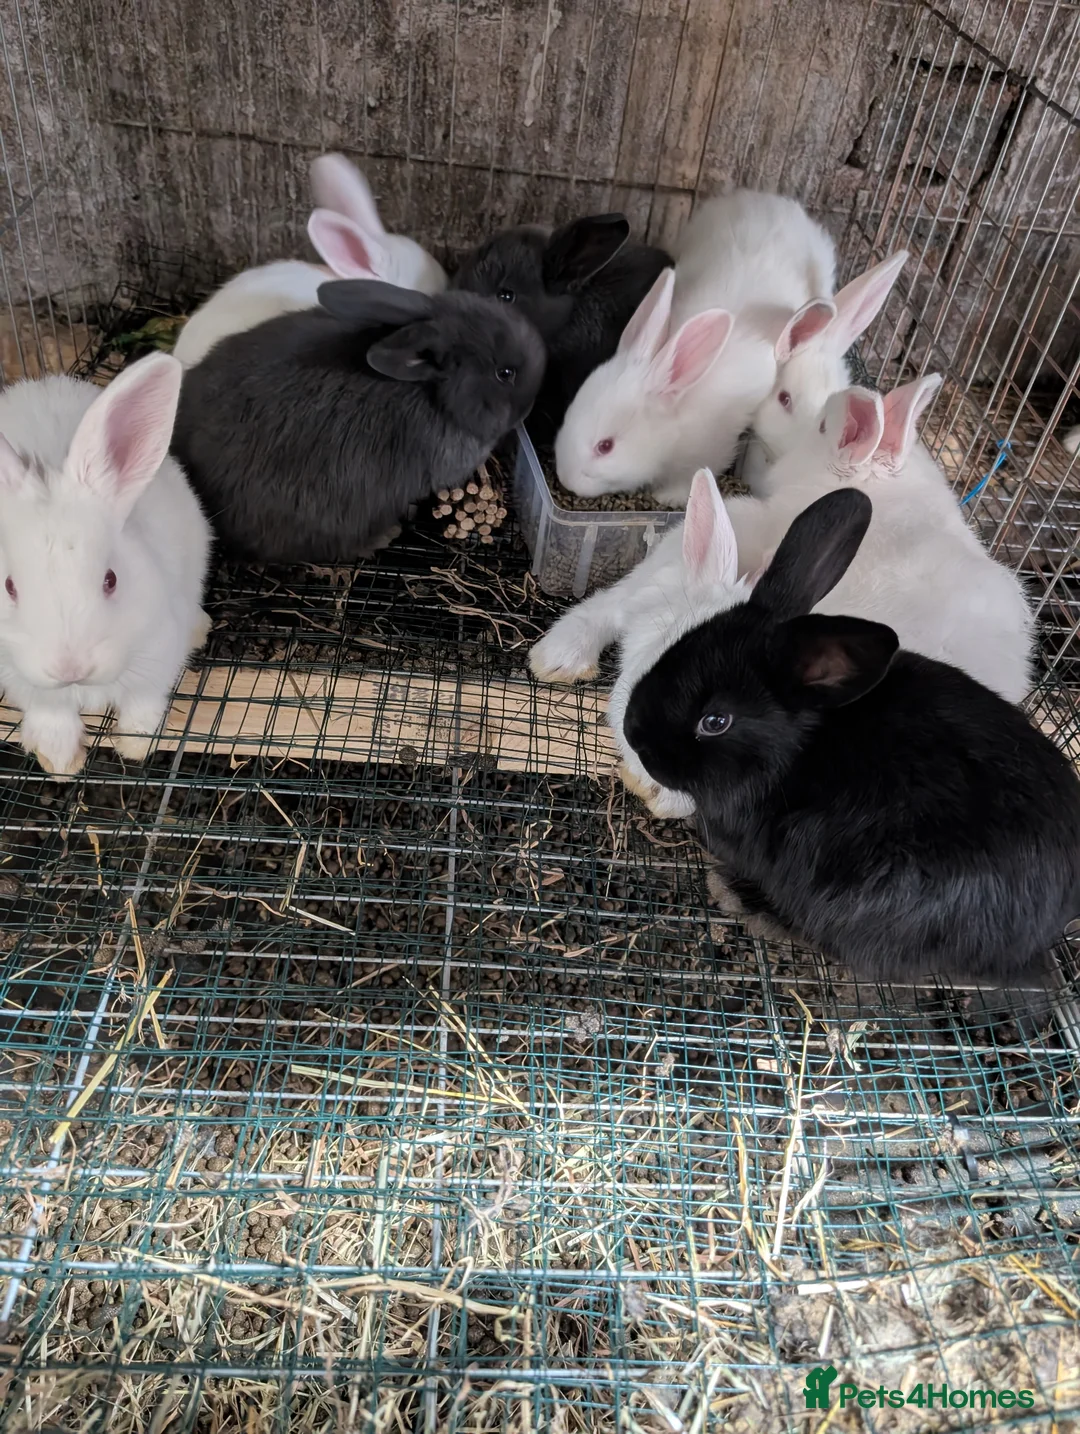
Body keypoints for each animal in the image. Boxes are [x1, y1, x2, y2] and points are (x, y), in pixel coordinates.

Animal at [0, 354, 212, 778]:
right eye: (10, 586)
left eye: (110, 580)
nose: (70, 668)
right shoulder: (23, 680)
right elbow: (52, 717)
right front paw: (60, 763)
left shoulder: (158, 653)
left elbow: (143, 703)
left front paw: (134, 746)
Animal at [554, 190, 839, 506]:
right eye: (569, 411)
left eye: (605, 446)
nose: (565, 479)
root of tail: (777, 201)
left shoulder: (712, 449)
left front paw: (667, 497)